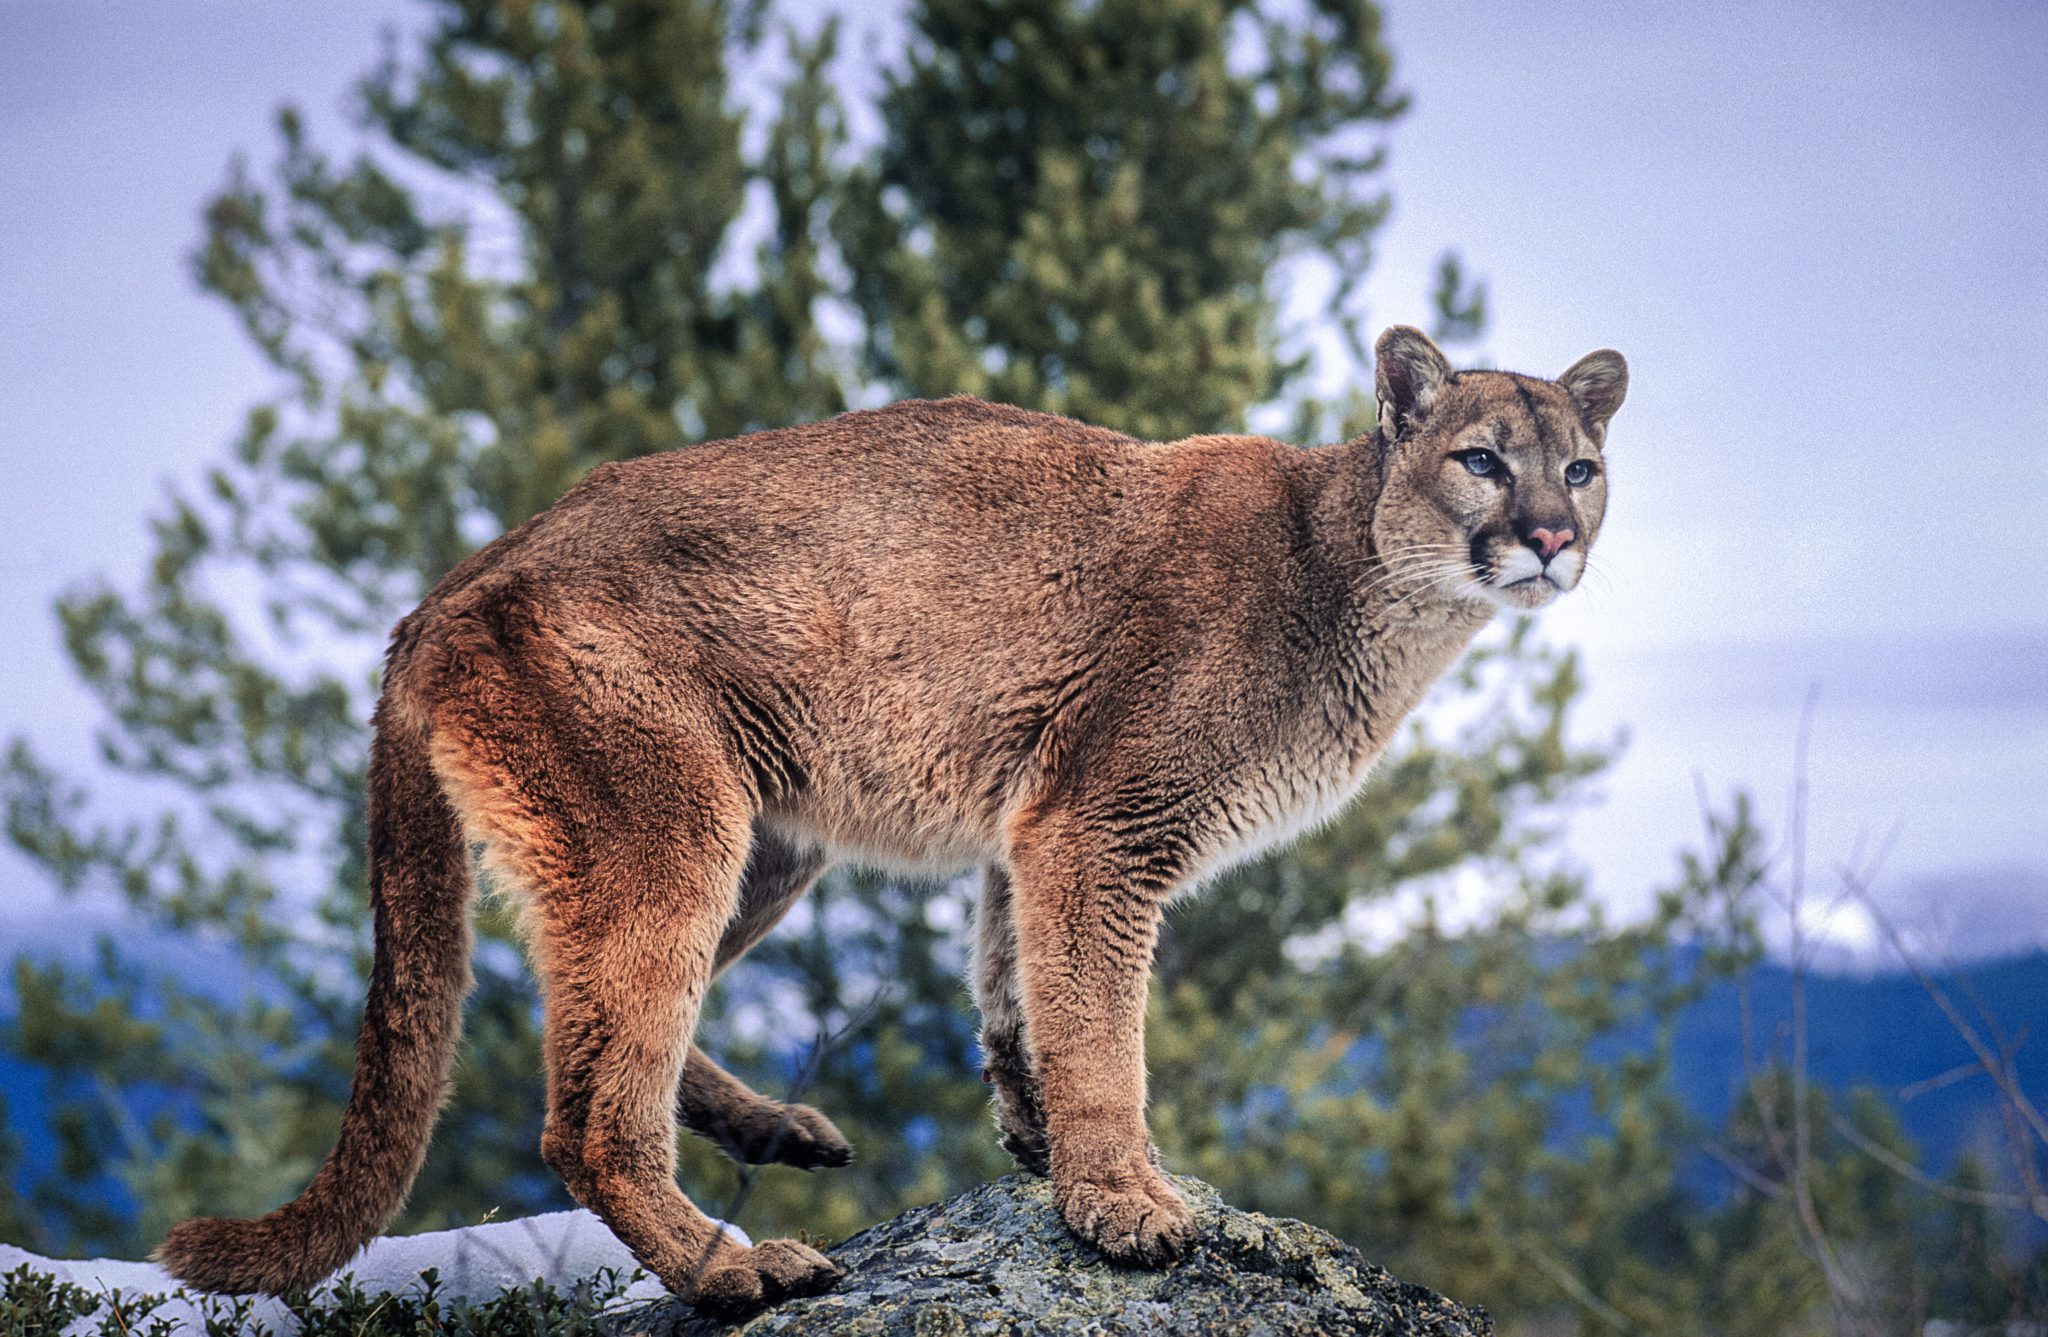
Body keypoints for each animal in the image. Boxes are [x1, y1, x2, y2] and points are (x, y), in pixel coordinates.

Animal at [159, 325, 1630, 1310]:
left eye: (1581, 466)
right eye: (1482, 459)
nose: (1552, 538)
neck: (1368, 585)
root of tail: (451, 582)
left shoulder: (1032, 826)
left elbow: (1017, 990)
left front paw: (1040, 1149)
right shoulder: (1103, 826)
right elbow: (1103, 1026)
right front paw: (1125, 1204)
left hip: (759, 840)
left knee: (574, 1014)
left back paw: (776, 1133)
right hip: (672, 828)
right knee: (584, 1107)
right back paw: (726, 1266)